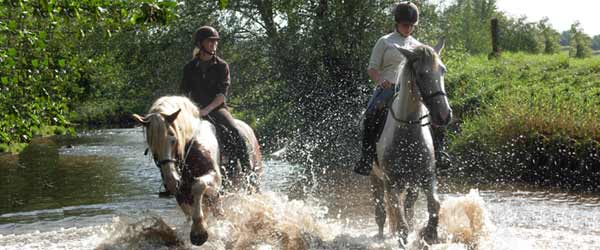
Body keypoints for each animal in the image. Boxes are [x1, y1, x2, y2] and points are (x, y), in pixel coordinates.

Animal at [370, 40, 450, 247]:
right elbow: (400, 221)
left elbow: (434, 204)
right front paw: (404, 239)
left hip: (411, 184)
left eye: (443, 71)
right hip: (375, 177)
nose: (444, 115)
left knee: (409, 209)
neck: (408, 131)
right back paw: (381, 237)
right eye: (421, 74)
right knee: (381, 212)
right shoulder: (391, 181)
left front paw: (430, 235)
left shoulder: (427, 177)